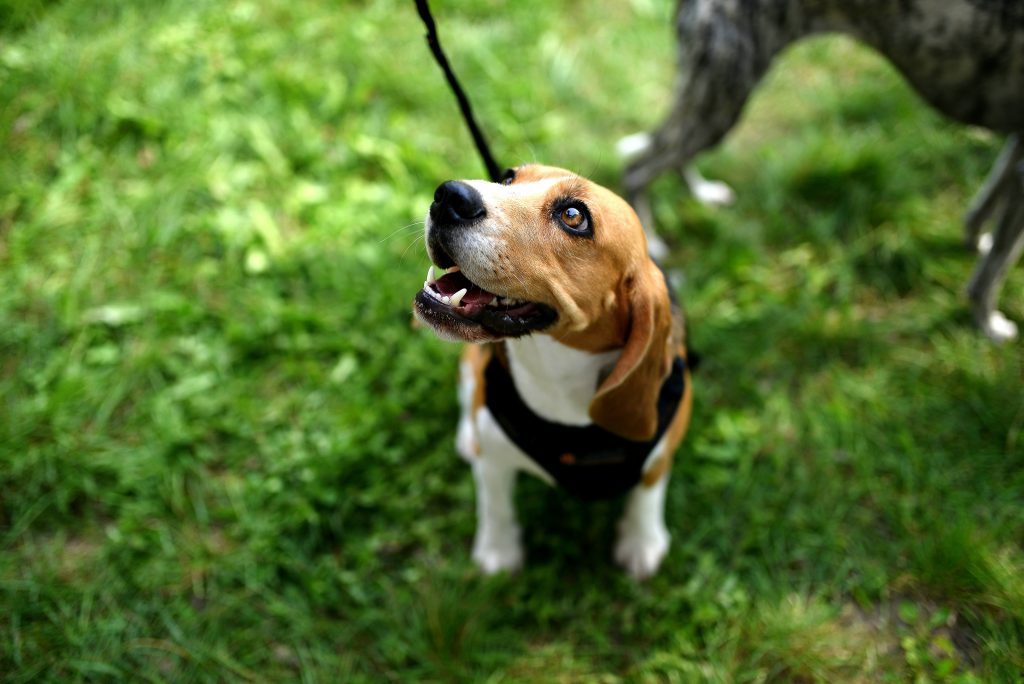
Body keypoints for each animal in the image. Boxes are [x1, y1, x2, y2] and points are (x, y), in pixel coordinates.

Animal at [411, 163, 692, 577]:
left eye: (573, 216)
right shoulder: (494, 456)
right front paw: (498, 551)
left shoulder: (662, 447)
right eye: (508, 177)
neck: (555, 377)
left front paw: (642, 542)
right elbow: (495, 505)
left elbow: (648, 490)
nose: (449, 195)